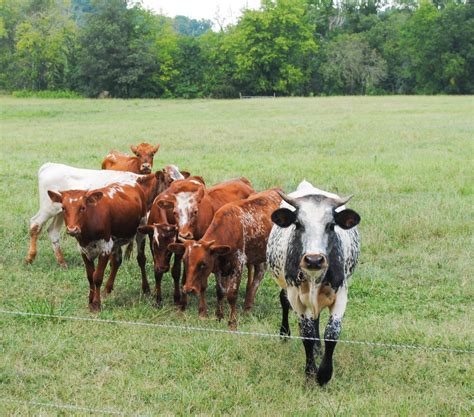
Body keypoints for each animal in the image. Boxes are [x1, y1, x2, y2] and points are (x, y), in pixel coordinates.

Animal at [169, 188, 284, 328]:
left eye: (203, 264)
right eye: (185, 261)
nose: (189, 289)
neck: (229, 230)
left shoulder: (238, 264)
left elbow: (231, 294)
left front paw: (232, 322)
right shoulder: (219, 266)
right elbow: (220, 291)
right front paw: (219, 316)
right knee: (259, 275)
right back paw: (247, 307)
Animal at [266, 180, 360, 386]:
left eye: (331, 225)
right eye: (298, 224)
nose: (314, 260)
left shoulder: (341, 294)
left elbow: (332, 333)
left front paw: (324, 374)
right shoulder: (296, 297)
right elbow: (306, 333)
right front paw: (310, 374)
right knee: (284, 301)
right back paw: (284, 334)